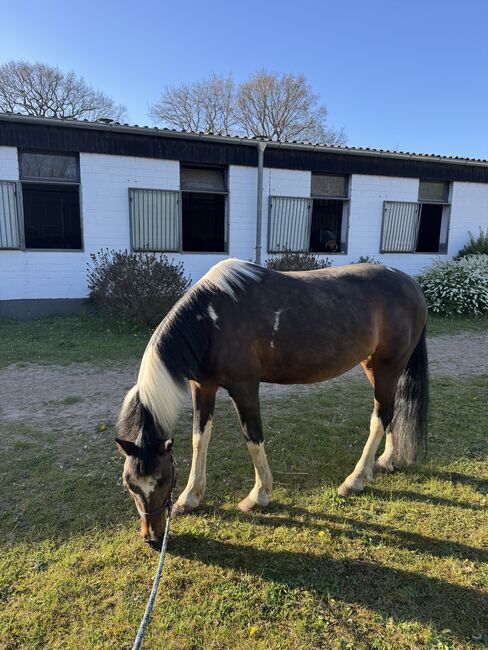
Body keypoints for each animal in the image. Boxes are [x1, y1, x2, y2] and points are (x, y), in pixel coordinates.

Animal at [116, 258, 428, 546]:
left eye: (162, 479)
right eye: (130, 485)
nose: (152, 537)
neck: (211, 321)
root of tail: (411, 285)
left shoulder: (244, 388)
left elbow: (252, 438)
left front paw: (258, 496)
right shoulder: (202, 388)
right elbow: (199, 439)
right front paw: (190, 497)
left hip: (388, 367)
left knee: (380, 417)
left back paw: (355, 479)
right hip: (374, 367)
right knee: (391, 411)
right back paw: (385, 461)